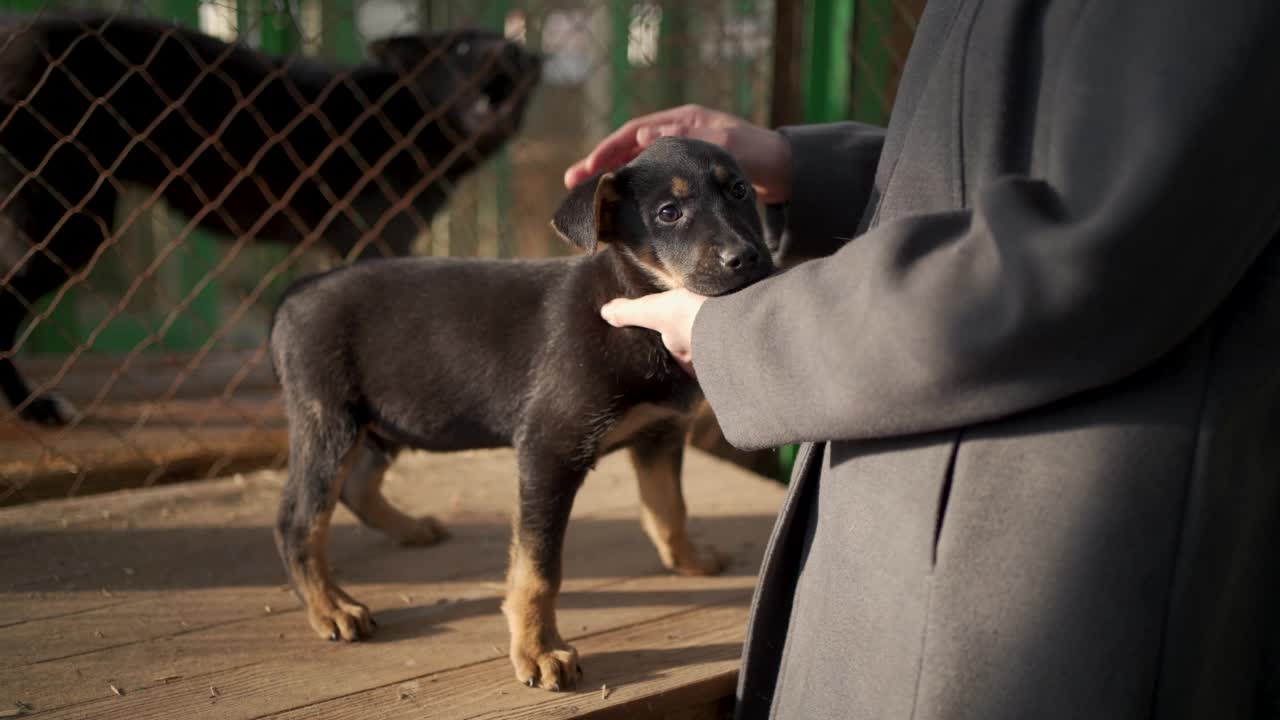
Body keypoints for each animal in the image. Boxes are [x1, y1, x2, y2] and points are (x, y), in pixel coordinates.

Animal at [0, 11, 540, 422]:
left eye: (509, 47)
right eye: (464, 49)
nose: (514, 54)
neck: (405, 114)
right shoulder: (372, 237)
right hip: (67, 227)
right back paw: (34, 408)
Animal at [264, 135, 773, 691]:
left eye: (740, 190)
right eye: (668, 212)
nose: (748, 257)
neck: (633, 305)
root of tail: (296, 293)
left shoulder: (659, 435)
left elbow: (670, 509)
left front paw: (688, 560)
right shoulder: (549, 451)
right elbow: (538, 569)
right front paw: (539, 650)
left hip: (388, 417)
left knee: (356, 486)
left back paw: (409, 530)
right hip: (330, 419)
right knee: (299, 519)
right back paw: (331, 606)